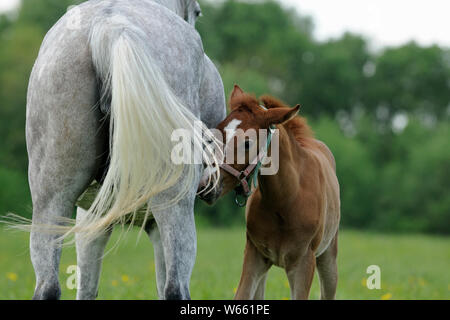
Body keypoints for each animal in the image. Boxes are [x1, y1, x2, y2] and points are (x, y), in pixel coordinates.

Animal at [26, 0, 227, 300]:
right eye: (198, 13)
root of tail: (111, 24)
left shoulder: (92, 220)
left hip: (51, 198)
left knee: (47, 285)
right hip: (174, 201)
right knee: (175, 287)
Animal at [216, 85, 340, 300]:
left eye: (247, 143)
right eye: (217, 131)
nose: (207, 181)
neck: (285, 199)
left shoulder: (303, 262)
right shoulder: (254, 254)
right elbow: (241, 296)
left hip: (328, 256)